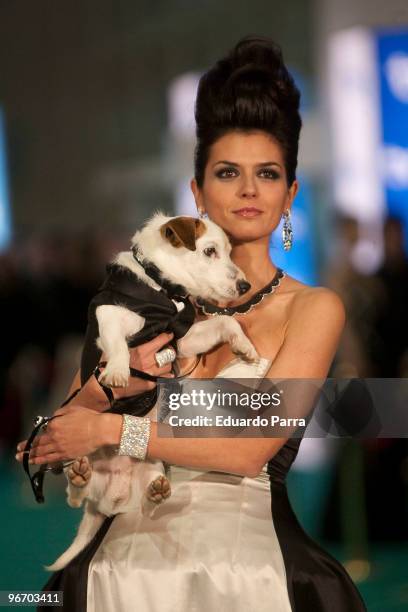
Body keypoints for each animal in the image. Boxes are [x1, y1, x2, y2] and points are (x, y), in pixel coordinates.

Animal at [47, 213, 258, 572]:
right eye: (210, 251)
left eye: (230, 252)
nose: (245, 286)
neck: (163, 290)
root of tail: (109, 500)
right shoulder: (110, 313)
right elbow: (117, 343)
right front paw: (118, 371)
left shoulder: (182, 339)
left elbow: (226, 324)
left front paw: (245, 347)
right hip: (78, 454)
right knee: (74, 497)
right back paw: (78, 477)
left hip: (153, 467)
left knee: (148, 506)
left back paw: (155, 493)